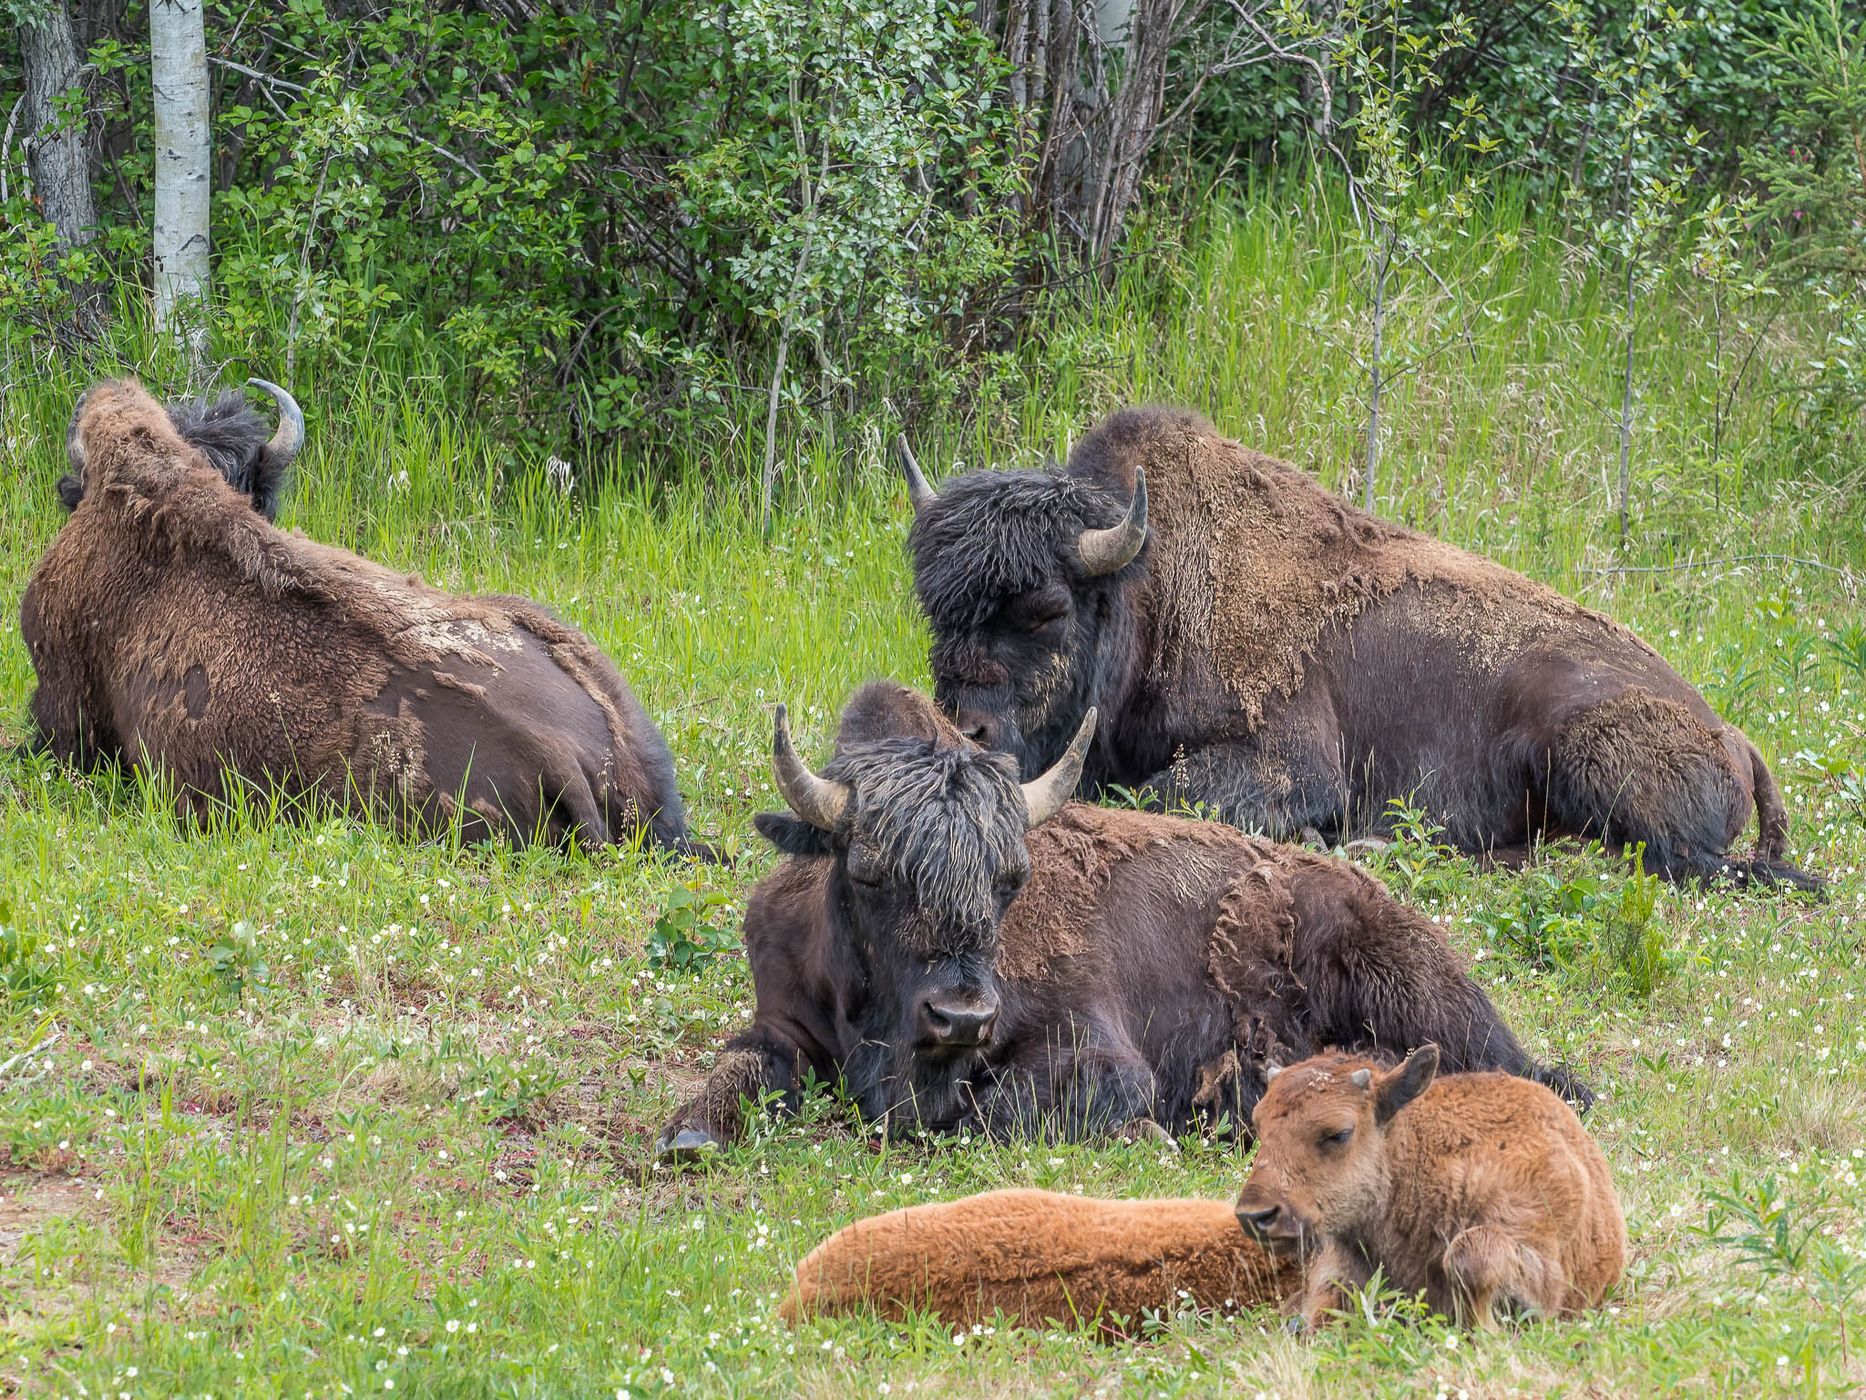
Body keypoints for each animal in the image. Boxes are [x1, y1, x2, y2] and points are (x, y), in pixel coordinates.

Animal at [656, 682, 1583, 1156]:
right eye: (870, 871)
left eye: (1012, 878)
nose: (961, 1016)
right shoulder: (781, 1020)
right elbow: (738, 1071)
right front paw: (687, 1137)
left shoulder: (1097, 1053)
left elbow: (1002, 1111)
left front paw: (1155, 1136)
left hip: (1427, 995)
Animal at [901, 405, 1818, 889]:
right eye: (934, 606)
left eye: (1048, 609)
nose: (965, 728)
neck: (1150, 583)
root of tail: (1732, 735)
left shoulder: (1291, 761)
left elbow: (1163, 797)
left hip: (1587, 750)